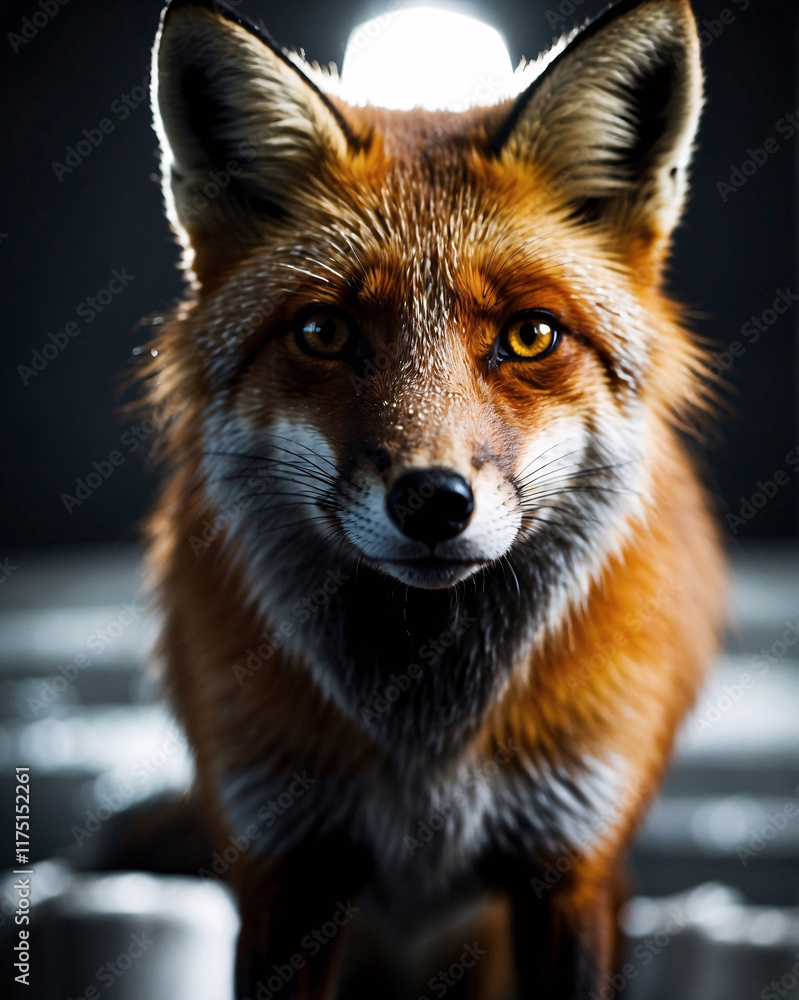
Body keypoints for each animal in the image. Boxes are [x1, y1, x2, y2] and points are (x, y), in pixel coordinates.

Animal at [143, 0, 725, 996]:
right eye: (322, 332)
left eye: (530, 336)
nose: (432, 501)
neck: (428, 744)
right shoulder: (287, 862)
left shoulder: (568, 862)